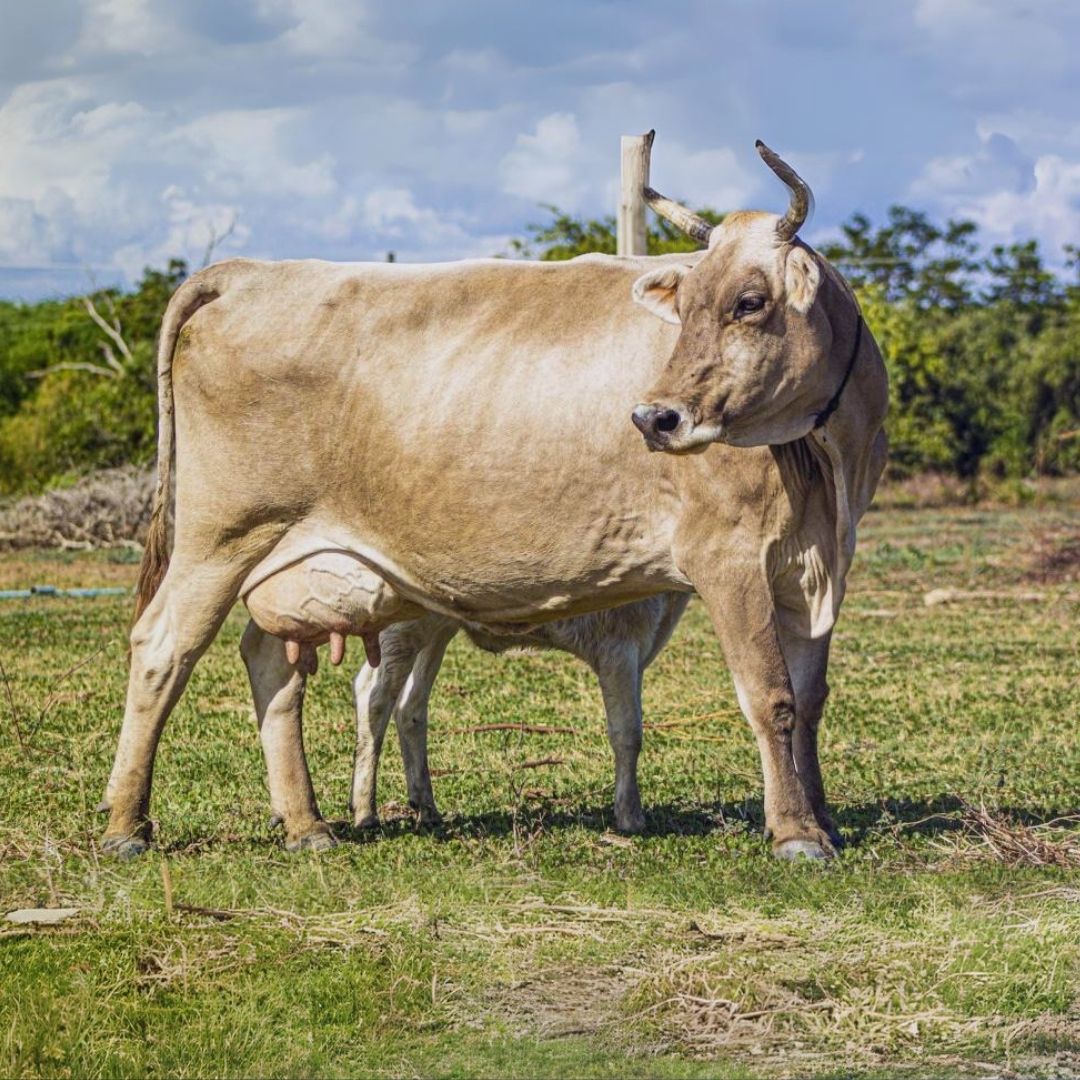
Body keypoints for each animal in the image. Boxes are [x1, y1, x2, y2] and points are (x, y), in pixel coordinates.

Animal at [348, 595, 690, 839]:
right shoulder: (618, 645)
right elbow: (628, 733)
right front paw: (631, 817)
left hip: (437, 626)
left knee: (410, 705)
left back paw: (426, 806)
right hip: (401, 625)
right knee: (373, 694)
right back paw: (365, 811)